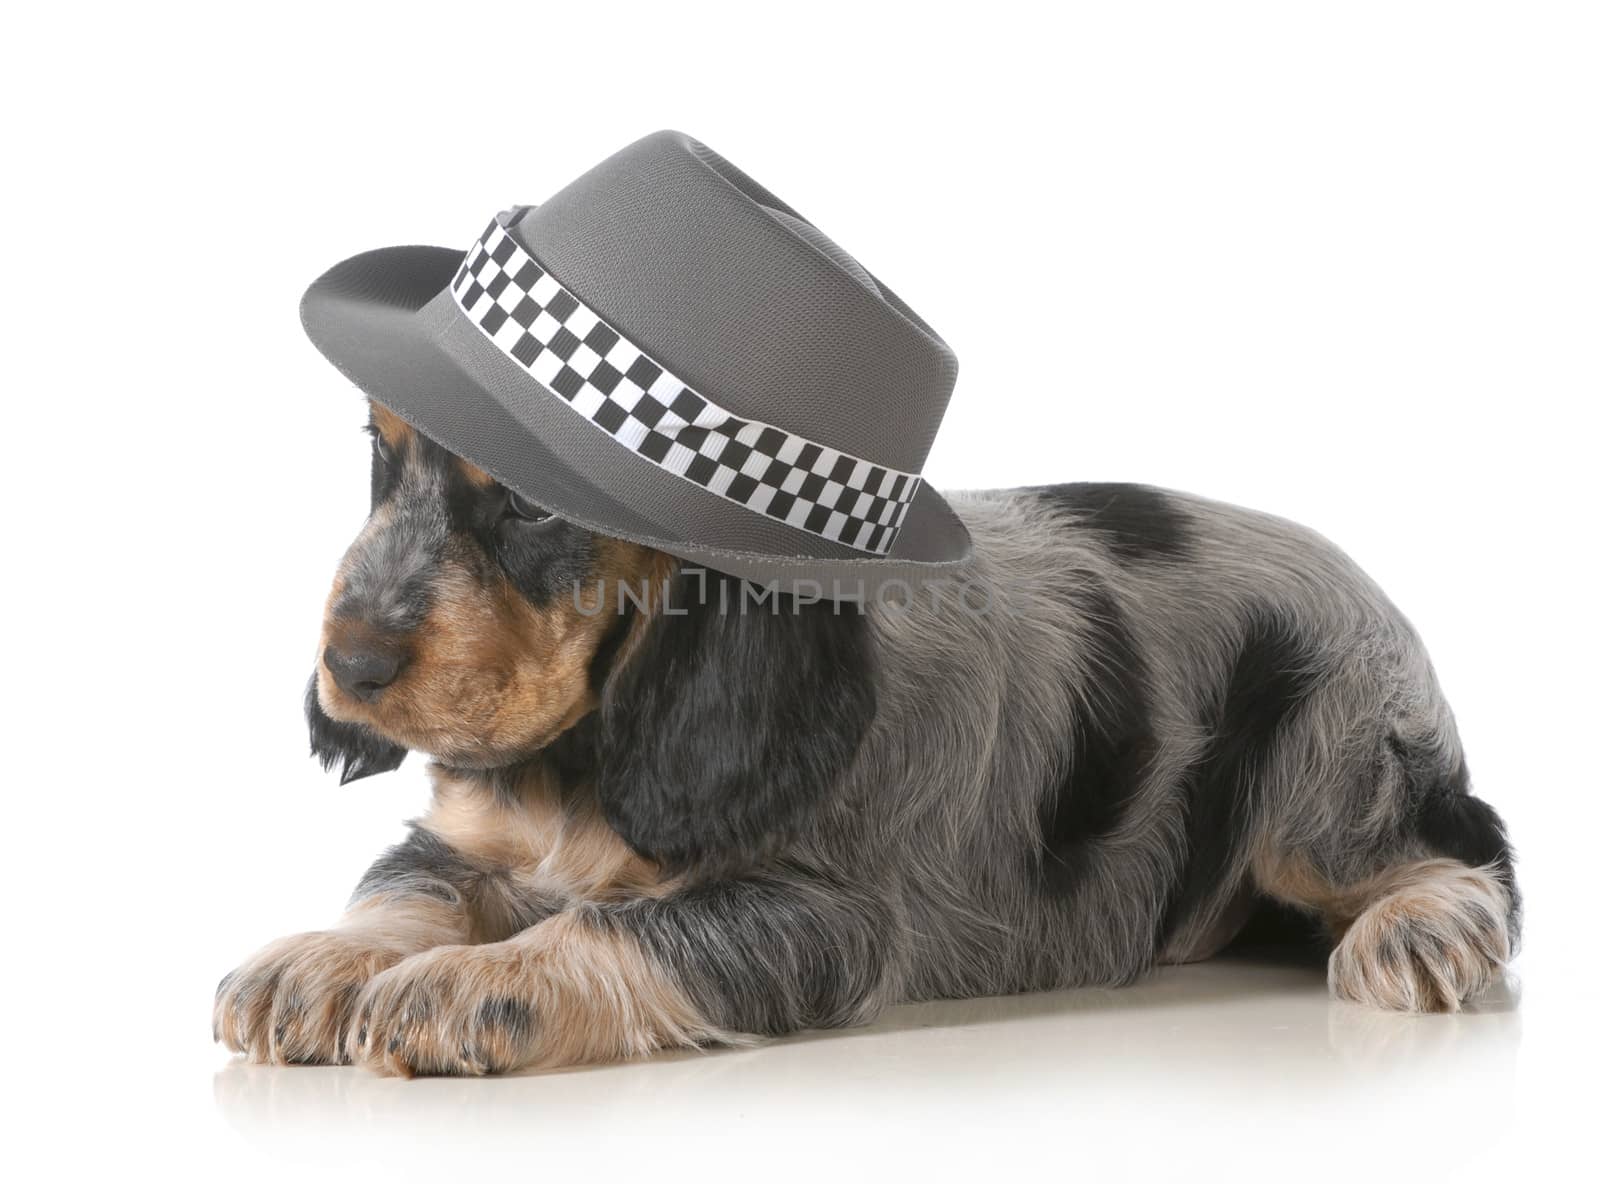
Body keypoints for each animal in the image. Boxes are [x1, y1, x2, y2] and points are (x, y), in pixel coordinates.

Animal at [216, 400, 1523, 1075]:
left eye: (535, 505)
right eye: (378, 454)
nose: (349, 667)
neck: (583, 753)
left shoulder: (820, 913)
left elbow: (615, 924)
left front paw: (461, 988)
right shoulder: (464, 836)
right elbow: (404, 883)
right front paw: (313, 963)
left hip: (1326, 754)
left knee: (1464, 858)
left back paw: (1415, 935)